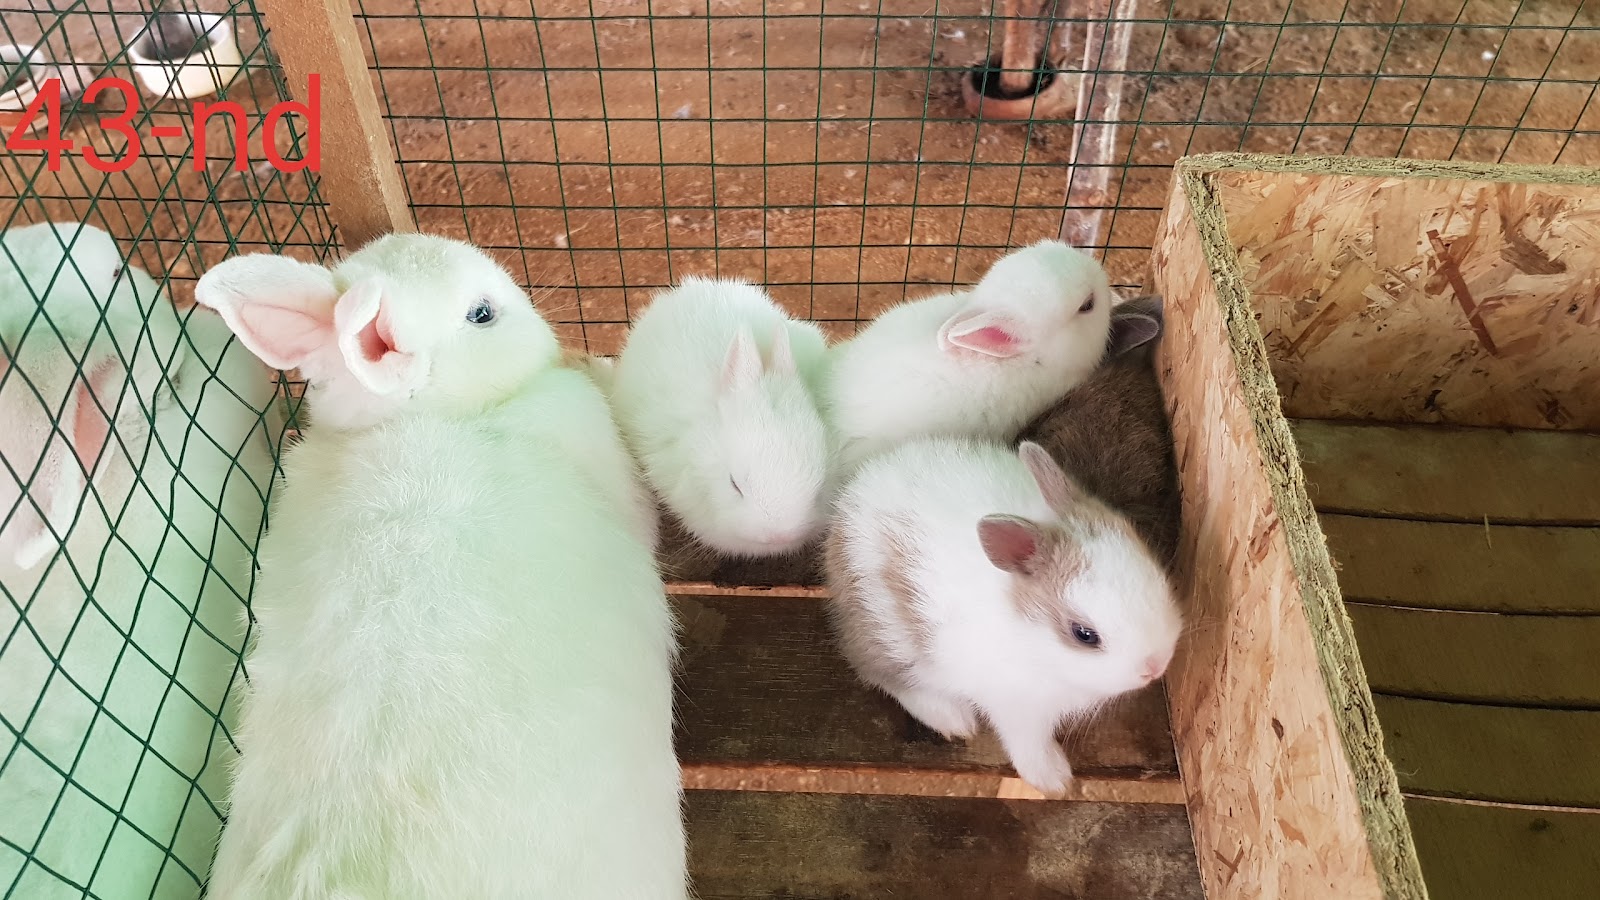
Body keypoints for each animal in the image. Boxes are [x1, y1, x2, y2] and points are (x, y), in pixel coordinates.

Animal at [824, 436, 1181, 796]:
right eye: (1084, 634)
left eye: (1153, 569)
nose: (1156, 666)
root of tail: (850, 501)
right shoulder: (1016, 708)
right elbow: (1029, 744)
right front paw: (1055, 780)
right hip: (889, 637)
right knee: (881, 674)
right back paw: (953, 719)